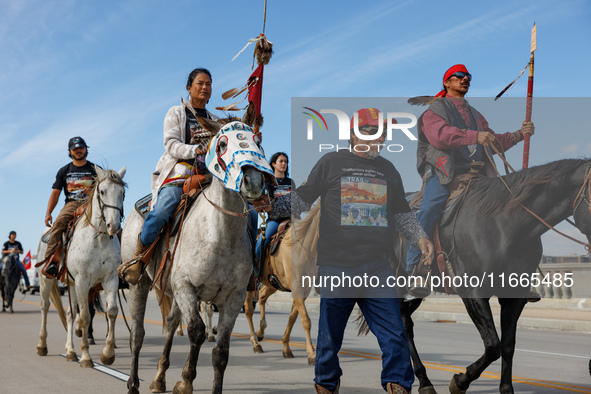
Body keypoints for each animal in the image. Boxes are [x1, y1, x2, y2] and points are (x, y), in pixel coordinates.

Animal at [35, 165, 126, 368]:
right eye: (102, 191)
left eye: (122, 193)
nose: (114, 226)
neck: (98, 240)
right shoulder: (83, 281)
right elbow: (84, 317)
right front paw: (86, 357)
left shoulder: (110, 279)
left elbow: (112, 312)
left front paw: (107, 354)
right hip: (47, 280)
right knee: (45, 307)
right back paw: (42, 346)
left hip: (71, 284)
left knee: (70, 313)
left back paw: (70, 351)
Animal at [123, 118, 276, 394]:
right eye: (223, 144)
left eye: (257, 141)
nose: (254, 182)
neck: (220, 235)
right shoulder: (186, 286)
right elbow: (197, 331)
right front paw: (185, 382)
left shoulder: (234, 297)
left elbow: (221, 352)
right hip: (139, 283)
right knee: (137, 333)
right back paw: (133, 383)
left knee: (172, 323)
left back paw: (159, 377)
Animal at [244, 202, 322, 364]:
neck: (302, 248)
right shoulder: (297, 287)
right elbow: (306, 320)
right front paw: (312, 353)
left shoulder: (303, 290)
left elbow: (293, 318)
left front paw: (286, 348)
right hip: (251, 283)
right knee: (248, 309)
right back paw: (255, 342)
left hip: (272, 284)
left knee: (262, 296)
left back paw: (260, 332)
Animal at [394, 159, 591, 392]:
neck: (504, 226)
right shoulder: (473, 293)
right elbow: (493, 345)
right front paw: (460, 381)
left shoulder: (514, 296)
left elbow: (507, 345)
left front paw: (505, 388)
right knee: (405, 326)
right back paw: (423, 381)